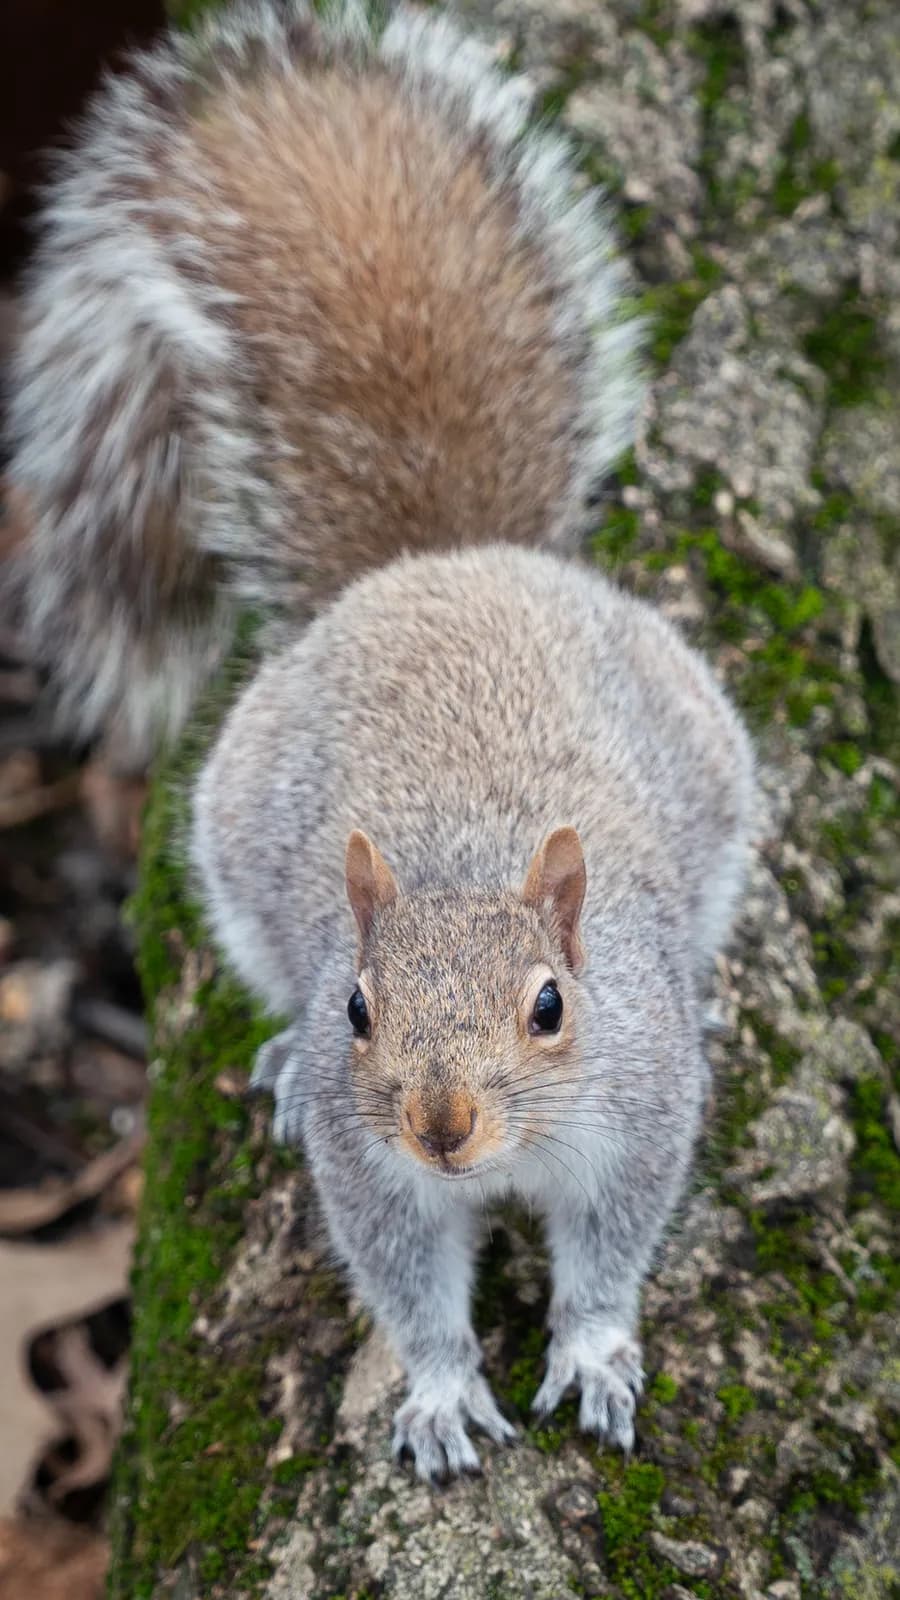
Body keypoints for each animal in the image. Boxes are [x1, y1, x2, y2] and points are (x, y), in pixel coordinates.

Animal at [6, 0, 755, 1479]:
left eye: (551, 1004)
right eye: (359, 1006)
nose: (441, 1125)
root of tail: (438, 561)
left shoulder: (637, 1123)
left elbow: (610, 1253)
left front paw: (593, 1355)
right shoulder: (378, 1181)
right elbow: (409, 1286)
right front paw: (442, 1391)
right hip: (231, 847)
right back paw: (284, 1074)